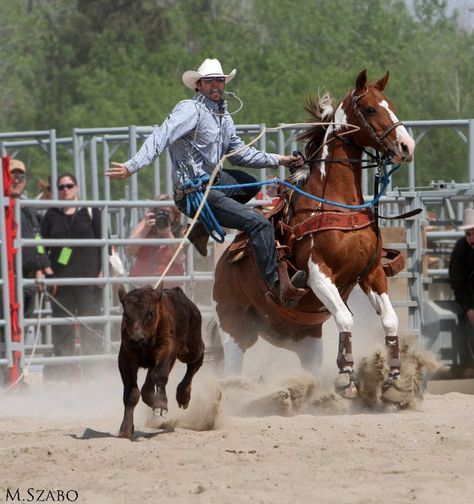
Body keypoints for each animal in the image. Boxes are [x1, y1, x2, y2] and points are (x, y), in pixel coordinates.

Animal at [116, 286, 204, 440]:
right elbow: (132, 392)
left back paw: (183, 395)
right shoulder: (126, 356)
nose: (136, 339)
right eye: (126, 315)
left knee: (196, 359)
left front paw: (161, 405)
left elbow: (161, 375)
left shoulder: (168, 347)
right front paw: (125, 429)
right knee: (148, 383)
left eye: (150, 314)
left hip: (190, 348)